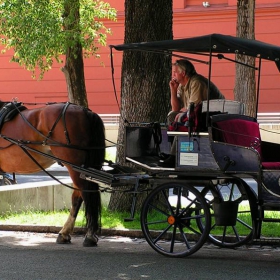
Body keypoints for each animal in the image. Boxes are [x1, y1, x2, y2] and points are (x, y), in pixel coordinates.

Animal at [0, 101, 106, 247]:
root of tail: (85, 111)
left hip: (75, 165)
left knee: (85, 193)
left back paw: (89, 236)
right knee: (78, 196)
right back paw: (65, 233)